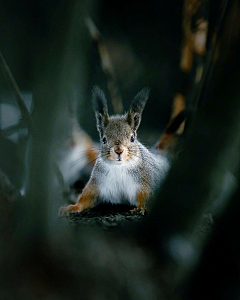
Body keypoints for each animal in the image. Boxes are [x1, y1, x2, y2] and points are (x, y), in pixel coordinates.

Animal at [59, 85, 170, 217]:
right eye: (104, 139)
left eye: (132, 138)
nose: (118, 151)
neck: (119, 167)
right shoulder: (97, 182)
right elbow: (86, 198)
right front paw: (72, 207)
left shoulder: (146, 180)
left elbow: (146, 195)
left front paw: (140, 207)